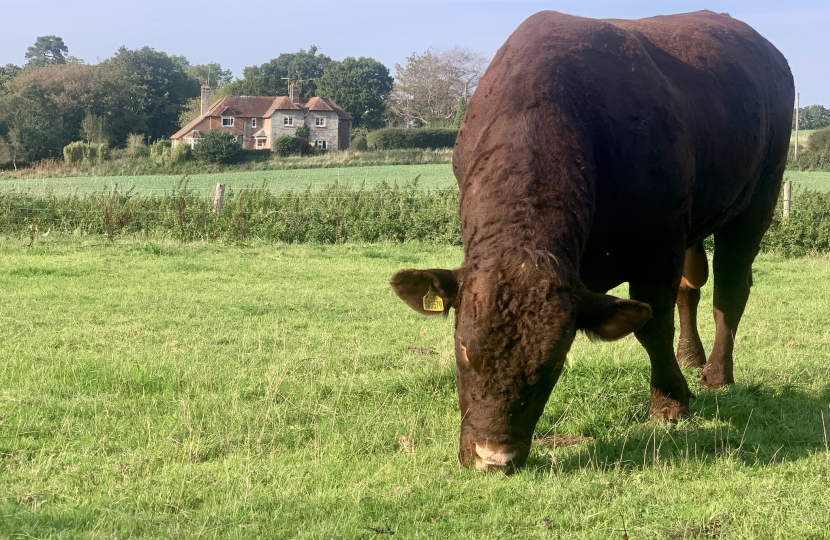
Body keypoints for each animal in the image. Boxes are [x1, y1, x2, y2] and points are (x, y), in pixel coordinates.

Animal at [390, 10, 792, 470]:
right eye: (463, 350)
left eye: (551, 366)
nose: (492, 457)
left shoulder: (658, 247)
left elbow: (654, 326)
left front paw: (670, 402)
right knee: (691, 287)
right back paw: (692, 356)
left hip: (756, 199)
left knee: (729, 289)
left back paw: (716, 374)